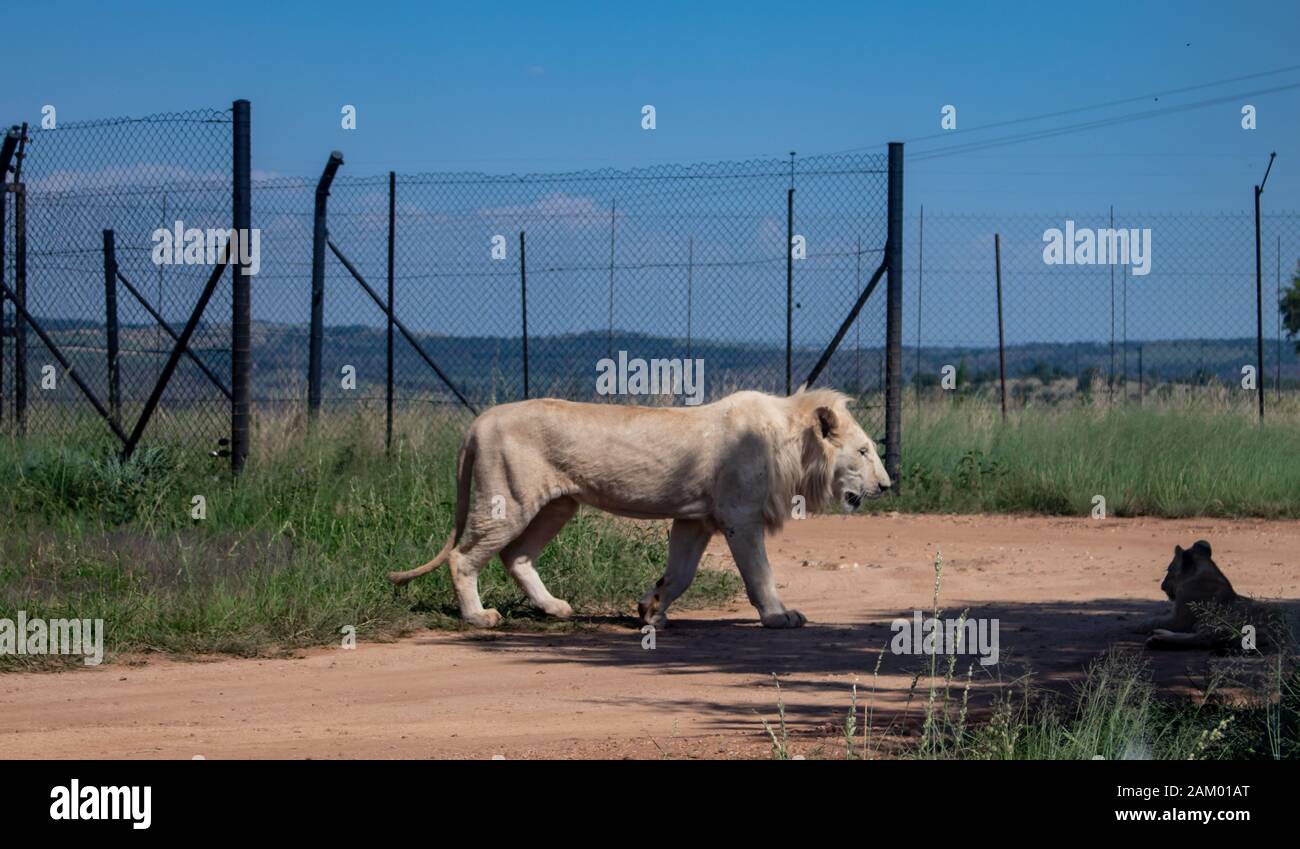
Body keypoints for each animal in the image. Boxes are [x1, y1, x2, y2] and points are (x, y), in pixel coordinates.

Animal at [387, 387, 894, 626]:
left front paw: (650, 611)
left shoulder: (696, 519)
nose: (888, 485)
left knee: (517, 556)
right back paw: (478, 616)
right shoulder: (739, 516)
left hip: (557, 506)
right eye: (864, 451)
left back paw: (555, 608)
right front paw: (778, 616)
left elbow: (679, 573)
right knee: (462, 557)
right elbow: (760, 574)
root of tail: (478, 422)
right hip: (507, 500)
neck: (793, 445)